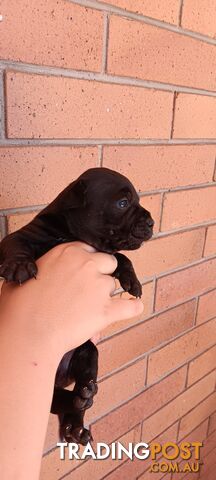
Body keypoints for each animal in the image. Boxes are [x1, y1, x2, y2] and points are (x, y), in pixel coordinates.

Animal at [0, 167, 154, 444]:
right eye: (122, 203)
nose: (151, 223)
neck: (70, 233)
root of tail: (60, 379)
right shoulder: (23, 236)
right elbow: (15, 244)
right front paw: (19, 265)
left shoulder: (106, 253)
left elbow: (121, 257)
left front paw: (132, 280)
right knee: (58, 401)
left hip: (87, 351)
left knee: (81, 391)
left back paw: (80, 410)